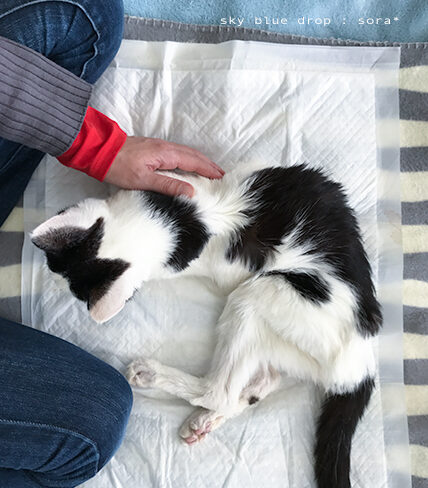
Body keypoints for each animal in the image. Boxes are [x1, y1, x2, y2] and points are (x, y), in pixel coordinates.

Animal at [31, 162, 381, 488]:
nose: (55, 284)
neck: (190, 221)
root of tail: (362, 366)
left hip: (261, 293)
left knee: (219, 391)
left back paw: (153, 375)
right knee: (262, 379)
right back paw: (205, 422)